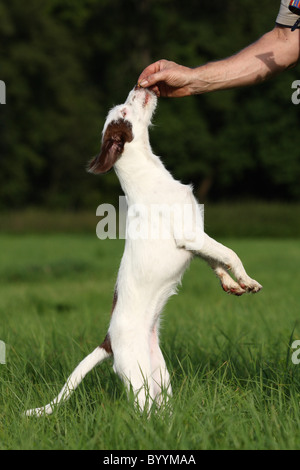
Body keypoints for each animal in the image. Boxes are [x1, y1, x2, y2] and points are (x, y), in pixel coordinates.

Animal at [25, 86, 260, 416]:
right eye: (123, 112)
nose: (140, 86)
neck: (150, 174)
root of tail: (108, 342)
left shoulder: (196, 239)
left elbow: (216, 261)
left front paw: (231, 284)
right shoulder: (191, 236)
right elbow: (229, 254)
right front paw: (247, 280)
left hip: (160, 377)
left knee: (163, 412)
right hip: (138, 381)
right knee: (142, 415)